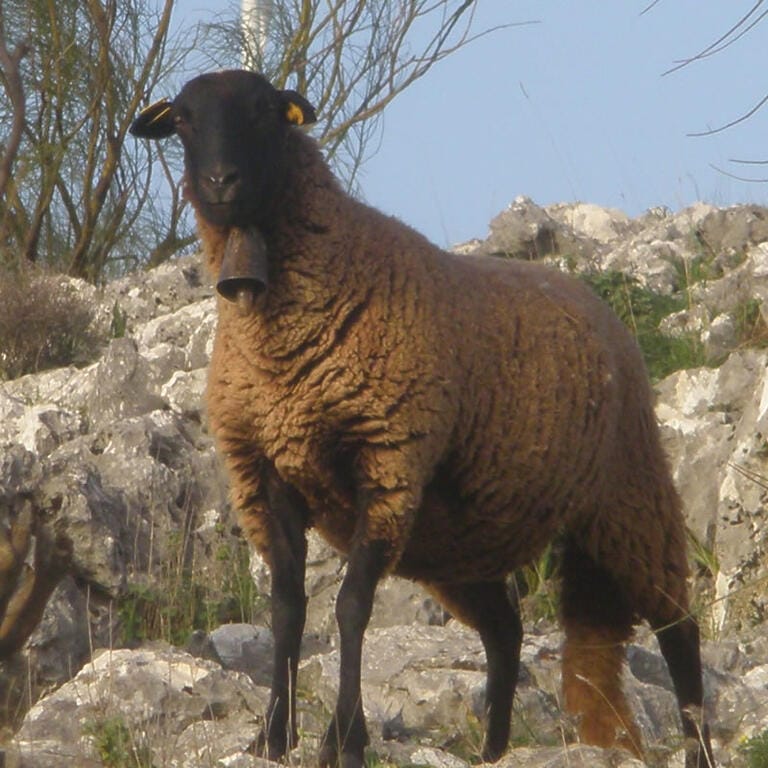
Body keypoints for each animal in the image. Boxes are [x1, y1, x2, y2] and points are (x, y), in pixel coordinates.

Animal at [130, 69, 715, 768]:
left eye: (266, 112)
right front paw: (273, 735)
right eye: (183, 119)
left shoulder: (386, 462)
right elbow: (287, 610)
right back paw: (493, 751)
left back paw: (698, 745)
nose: (221, 181)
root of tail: (592, 301)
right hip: (459, 541)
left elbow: (351, 608)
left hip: (629, 492)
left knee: (678, 626)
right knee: (506, 630)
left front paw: (344, 739)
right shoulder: (268, 472)